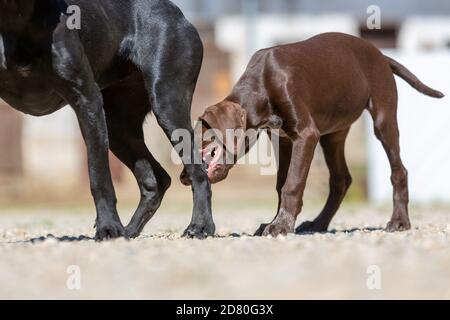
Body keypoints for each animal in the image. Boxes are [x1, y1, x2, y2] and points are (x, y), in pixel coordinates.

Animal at [0, 0, 214, 240]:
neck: (13, 14)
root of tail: (177, 12)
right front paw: (113, 227)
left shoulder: (87, 99)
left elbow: (98, 175)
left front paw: (108, 227)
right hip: (118, 126)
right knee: (155, 179)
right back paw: (128, 231)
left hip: (168, 103)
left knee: (198, 171)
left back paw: (200, 226)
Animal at [182, 32, 442, 238]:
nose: (185, 178)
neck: (263, 83)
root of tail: (379, 53)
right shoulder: (283, 140)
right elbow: (281, 183)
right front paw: (277, 221)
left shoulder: (306, 135)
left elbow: (292, 184)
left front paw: (280, 226)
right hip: (333, 134)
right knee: (341, 179)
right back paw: (319, 223)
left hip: (383, 118)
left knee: (399, 170)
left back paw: (399, 222)